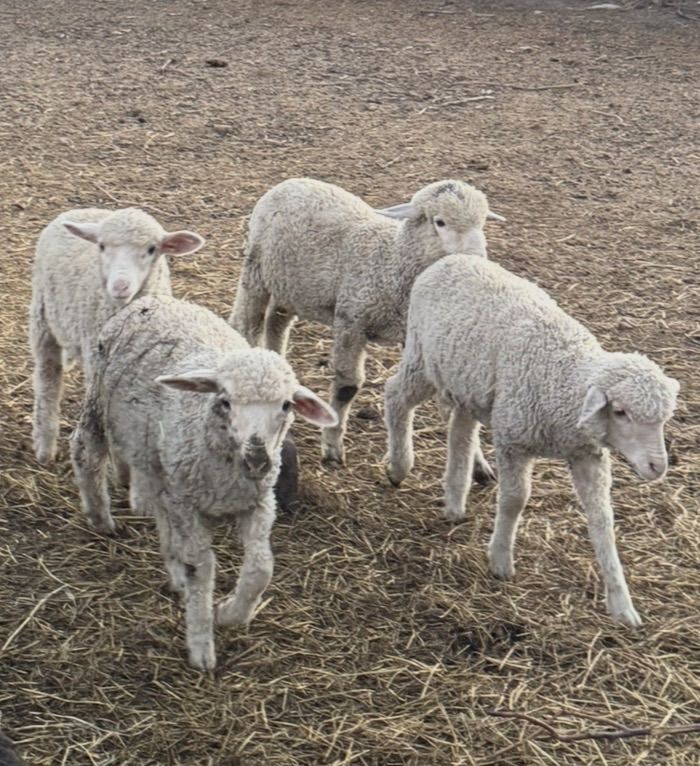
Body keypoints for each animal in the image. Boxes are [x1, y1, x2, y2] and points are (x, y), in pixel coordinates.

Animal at [30, 206, 205, 466]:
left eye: (152, 249)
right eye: (102, 246)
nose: (120, 286)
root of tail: (83, 209)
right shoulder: (97, 364)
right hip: (43, 318)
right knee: (47, 377)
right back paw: (44, 446)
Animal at [70, 295, 337, 670]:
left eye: (286, 405)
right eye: (224, 401)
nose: (258, 458)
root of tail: (155, 299)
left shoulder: (257, 503)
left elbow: (261, 569)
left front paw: (230, 613)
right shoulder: (188, 504)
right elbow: (202, 567)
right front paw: (201, 645)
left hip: (157, 459)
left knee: (160, 509)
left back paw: (173, 570)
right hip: (99, 399)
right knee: (86, 450)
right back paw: (100, 518)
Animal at [230, 177, 504, 470]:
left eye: (482, 223)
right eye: (439, 222)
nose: (477, 257)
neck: (392, 261)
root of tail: (293, 181)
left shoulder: (412, 334)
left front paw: (478, 462)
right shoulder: (352, 319)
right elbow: (347, 386)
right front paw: (332, 445)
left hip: (292, 285)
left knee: (277, 322)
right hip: (256, 269)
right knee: (246, 323)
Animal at [384, 255, 679, 627]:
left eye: (664, 419)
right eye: (621, 412)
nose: (658, 467)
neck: (562, 379)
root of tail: (454, 258)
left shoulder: (587, 455)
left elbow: (602, 520)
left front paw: (622, 604)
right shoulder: (514, 441)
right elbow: (514, 500)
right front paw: (500, 559)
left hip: (468, 383)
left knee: (460, 432)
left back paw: (454, 500)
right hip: (423, 360)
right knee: (395, 397)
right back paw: (399, 467)